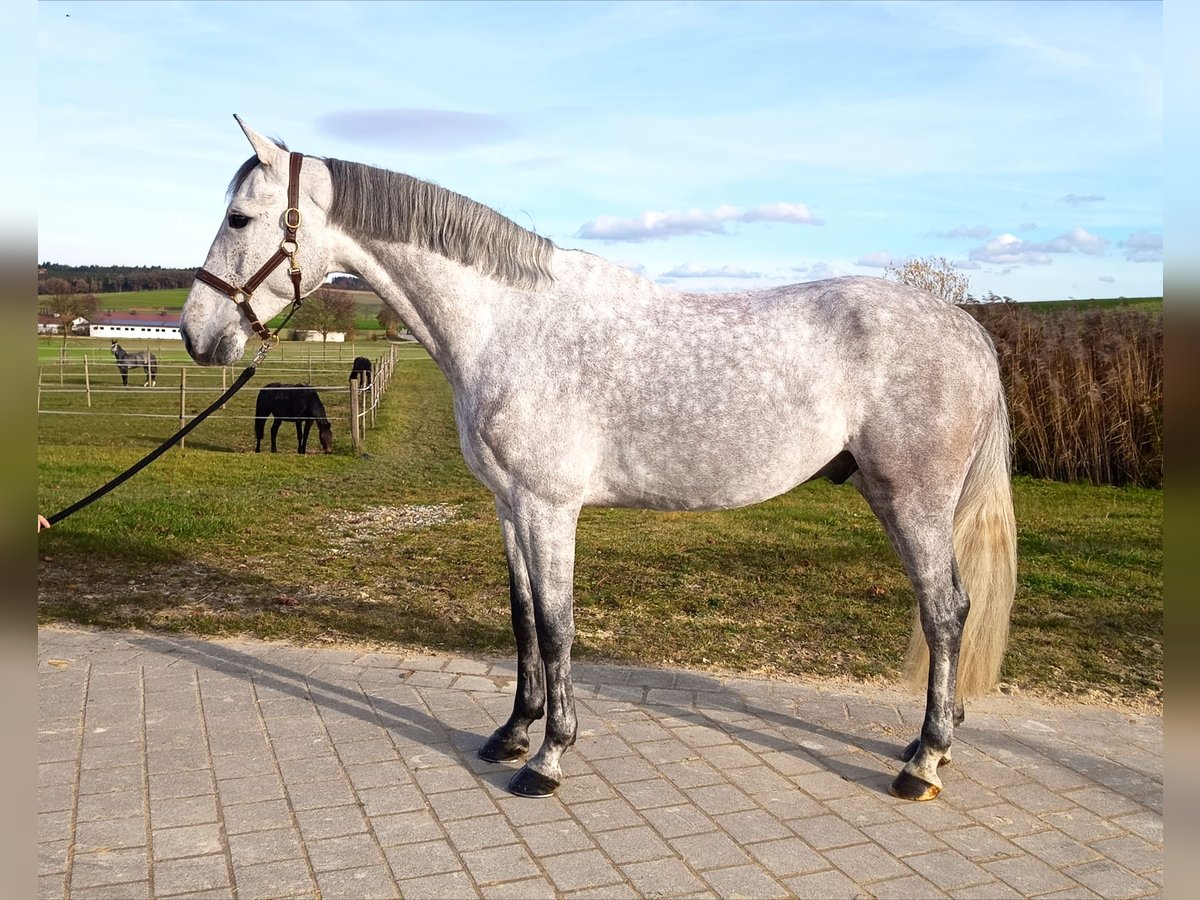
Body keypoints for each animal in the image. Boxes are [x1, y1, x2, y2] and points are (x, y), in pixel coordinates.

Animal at [181, 117, 1017, 804]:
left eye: (239, 217)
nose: (198, 335)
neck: (508, 324)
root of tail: (967, 329)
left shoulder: (550, 507)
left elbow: (557, 627)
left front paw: (548, 759)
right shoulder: (510, 505)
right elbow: (521, 619)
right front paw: (511, 733)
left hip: (913, 497)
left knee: (947, 611)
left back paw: (922, 763)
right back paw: (927, 745)